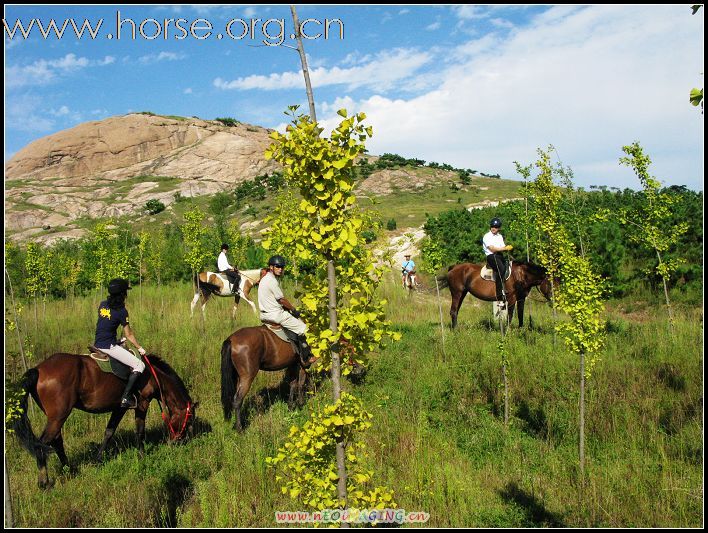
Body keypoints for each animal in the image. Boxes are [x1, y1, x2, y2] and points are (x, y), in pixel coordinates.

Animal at [11, 352, 198, 488]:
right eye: (188, 421)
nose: (182, 442)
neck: (152, 375)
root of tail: (38, 369)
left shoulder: (119, 408)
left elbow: (109, 431)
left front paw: (98, 459)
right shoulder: (141, 404)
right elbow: (139, 431)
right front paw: (142, 456)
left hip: (56, 417)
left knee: (56, 441)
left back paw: (69, 469)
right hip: (59, 415)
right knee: (42, 444)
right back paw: (44, 482)